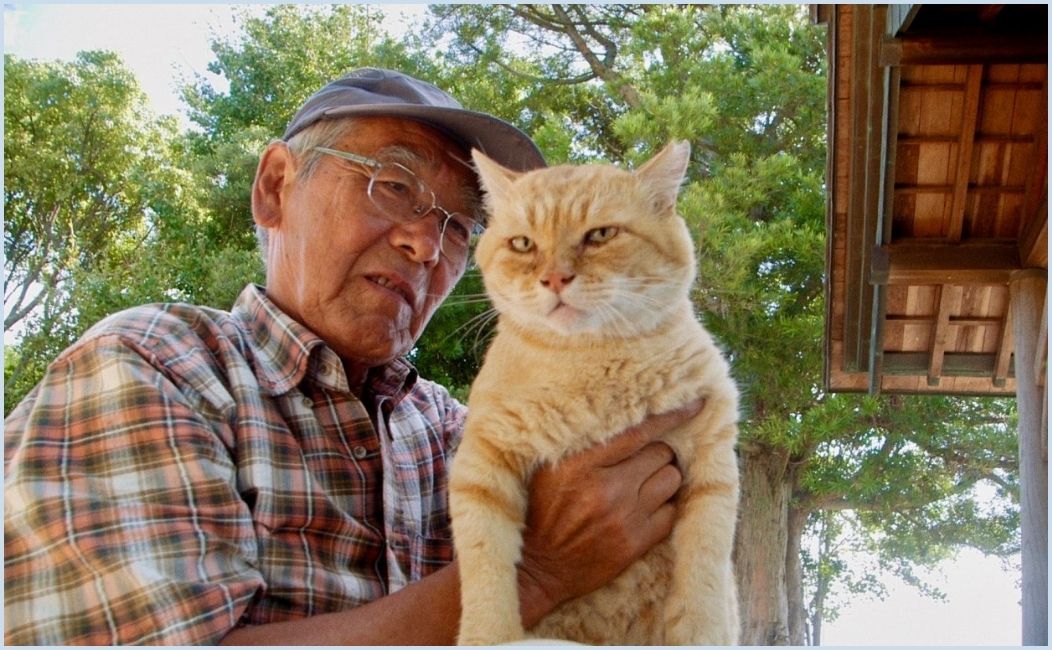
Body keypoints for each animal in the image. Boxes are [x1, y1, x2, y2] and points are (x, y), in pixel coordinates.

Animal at [450, 141, 740, 643]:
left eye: (600, 235)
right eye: (523, 244)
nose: (554, 279)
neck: (591, 364)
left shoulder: (713, 459)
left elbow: (704, 572)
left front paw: (700, 632)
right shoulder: (481, 465)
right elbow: (485, 568)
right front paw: (489, 636)